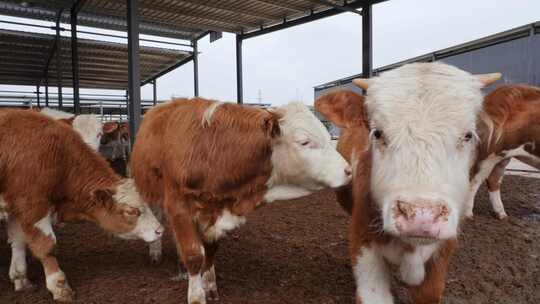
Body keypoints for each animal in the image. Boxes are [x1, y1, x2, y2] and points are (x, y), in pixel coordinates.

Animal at [0, 109, 162, 302]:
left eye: (99, 134)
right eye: (131, 211)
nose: (160, 230)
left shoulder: (15, 207)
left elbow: (17, 241)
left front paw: (20, 278)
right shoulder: (32, 206)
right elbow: (46, 245)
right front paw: (59, 286)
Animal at [130, 98, 350, 304]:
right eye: (304, 141)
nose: (348, 170)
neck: (211, 151)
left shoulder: (215, 210)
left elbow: (210, 249)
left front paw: (209, 284)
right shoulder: (179, 207)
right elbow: (193, 254)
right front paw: (196, 295)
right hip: (149, 190)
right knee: (157, 219)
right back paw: (155, 252)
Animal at [464, 84, 540, 220]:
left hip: (502, 157)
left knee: (493, 179)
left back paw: (501, 214)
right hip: (489, 153)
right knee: (475, 179)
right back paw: (468, 213)